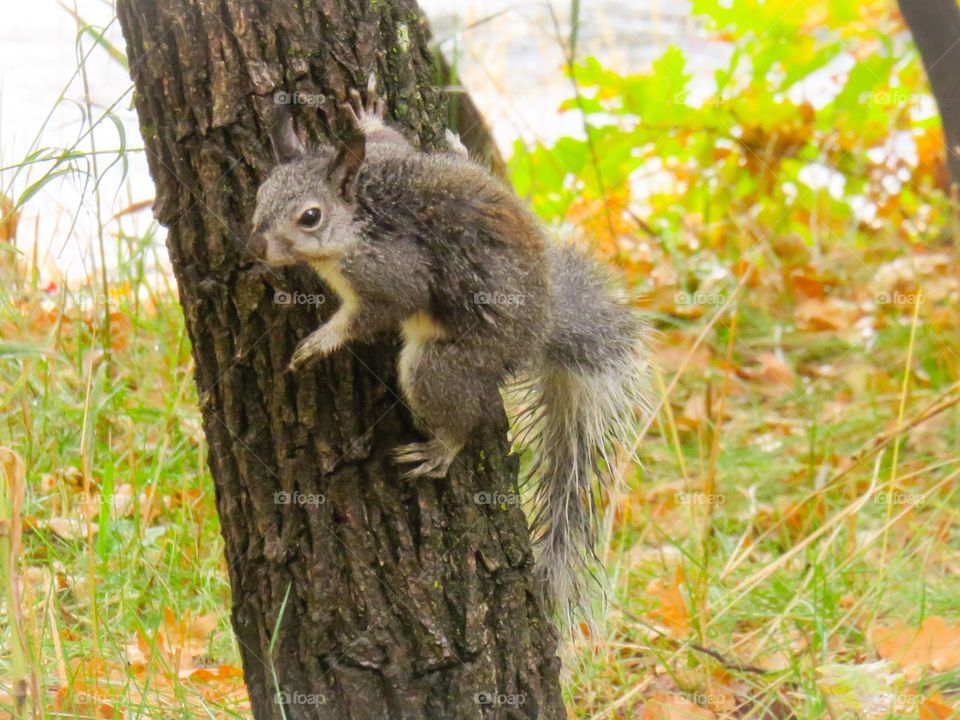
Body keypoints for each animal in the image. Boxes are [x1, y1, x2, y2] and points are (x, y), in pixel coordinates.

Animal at [248, 74, 652, 624]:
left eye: (309, 217)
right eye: (260, 194)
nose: (254, 247)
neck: (360, 211)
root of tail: (538, 334)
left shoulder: (392, 270)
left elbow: (384, 308)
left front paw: (321, 340)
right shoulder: (387, 159)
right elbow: (391, 141)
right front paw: (369, 117)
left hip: (439, 364)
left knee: (461, 410)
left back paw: (441, 447)